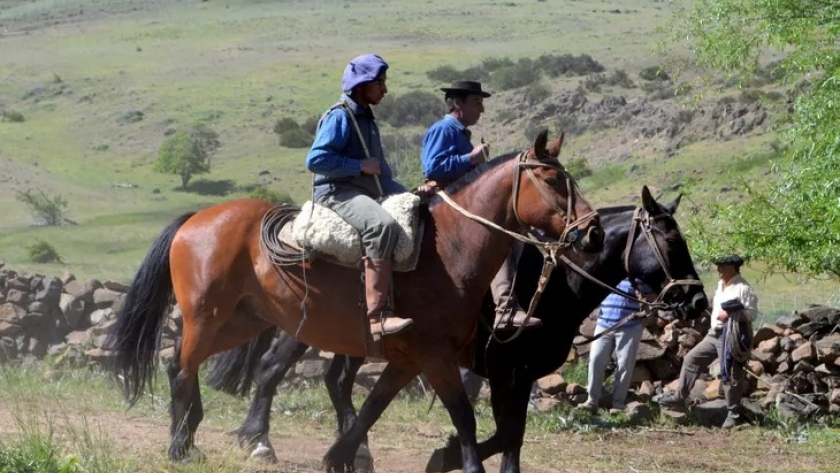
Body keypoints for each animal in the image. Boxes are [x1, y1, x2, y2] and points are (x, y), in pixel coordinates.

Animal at [106, 130, 604, 472]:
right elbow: (467, 420)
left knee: (190, 365)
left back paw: (203, 438)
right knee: (185, 369)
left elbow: (371, 409)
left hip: (241, 321)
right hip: (209, 317)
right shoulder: (440, 358)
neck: (449, 249)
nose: (593, 232)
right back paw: (183, 445)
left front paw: (340, 455)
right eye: (551, 178)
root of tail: (198, 219)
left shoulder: (409, 361)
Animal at [207, 186, 704, 470]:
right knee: (272, 368)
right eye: (670, 240)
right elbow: (505, 434)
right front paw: (445, 454)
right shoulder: (505, 374)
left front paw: (443, 454)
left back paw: (353, 450)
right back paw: (259, 441)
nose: (698, 301)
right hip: (305, 332)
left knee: (337, 382)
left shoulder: (514, 377)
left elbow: (508, 435)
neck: (554, 285)